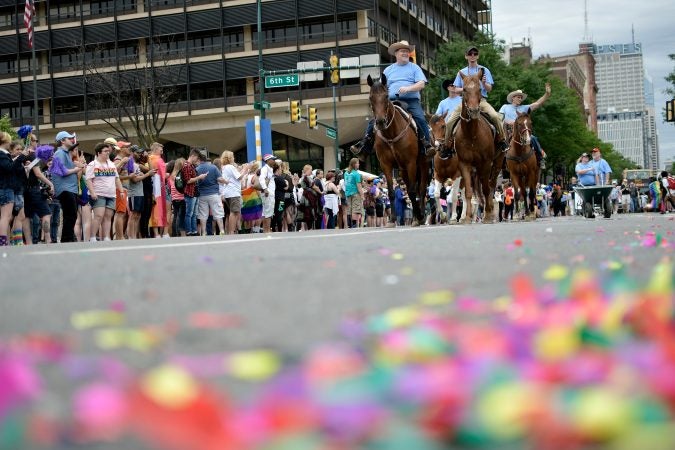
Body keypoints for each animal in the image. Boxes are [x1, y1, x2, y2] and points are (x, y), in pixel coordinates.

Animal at [370, 76, 428, 229]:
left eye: (385, 96)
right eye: (371, 97)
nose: (380, 122)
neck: (391, 133)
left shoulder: (411, 163)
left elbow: (413, 191)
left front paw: (418, 216)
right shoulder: (386, 165)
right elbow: (391, 192)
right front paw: (392, 219)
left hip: (423, 165)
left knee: (421, 190)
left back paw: (420, 216)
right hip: (403, 170)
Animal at [448, 69, 502, 223]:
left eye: (479, 89)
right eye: (464, 89)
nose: (473, 111)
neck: (471, 134)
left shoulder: (486, 162)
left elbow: (486, 189)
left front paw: (488, 215)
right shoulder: (464, 164)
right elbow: (468, 191)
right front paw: (466, 217)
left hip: (497, 163)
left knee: (491, 186)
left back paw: (490, 213)